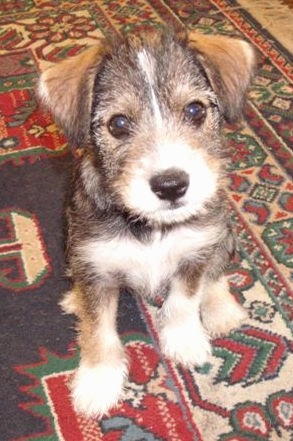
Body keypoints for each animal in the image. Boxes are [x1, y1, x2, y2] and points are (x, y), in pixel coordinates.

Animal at [38, 30, 253, 416]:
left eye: (195, 110)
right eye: (118, 124)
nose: (171, 185)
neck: (153, 227)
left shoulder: (195, 251)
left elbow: (185, 298)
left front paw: (184, 341)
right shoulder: (94, 267)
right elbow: (98, 329)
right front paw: (97, 382)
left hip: (223, 232)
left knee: (217, 270)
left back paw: (222, 309)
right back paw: (74, 299)